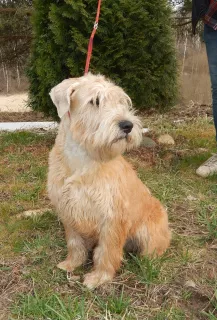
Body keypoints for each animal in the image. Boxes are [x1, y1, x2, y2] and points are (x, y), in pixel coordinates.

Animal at [48, 74, 171, 288]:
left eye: (122, 101)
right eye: (95, 101)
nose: (127, 125)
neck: (82, 159)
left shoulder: (112, 217)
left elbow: (107, 250)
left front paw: (99, 277)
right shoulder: (68, 209)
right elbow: (74, 243)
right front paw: (72, 263)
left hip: (148, 232)